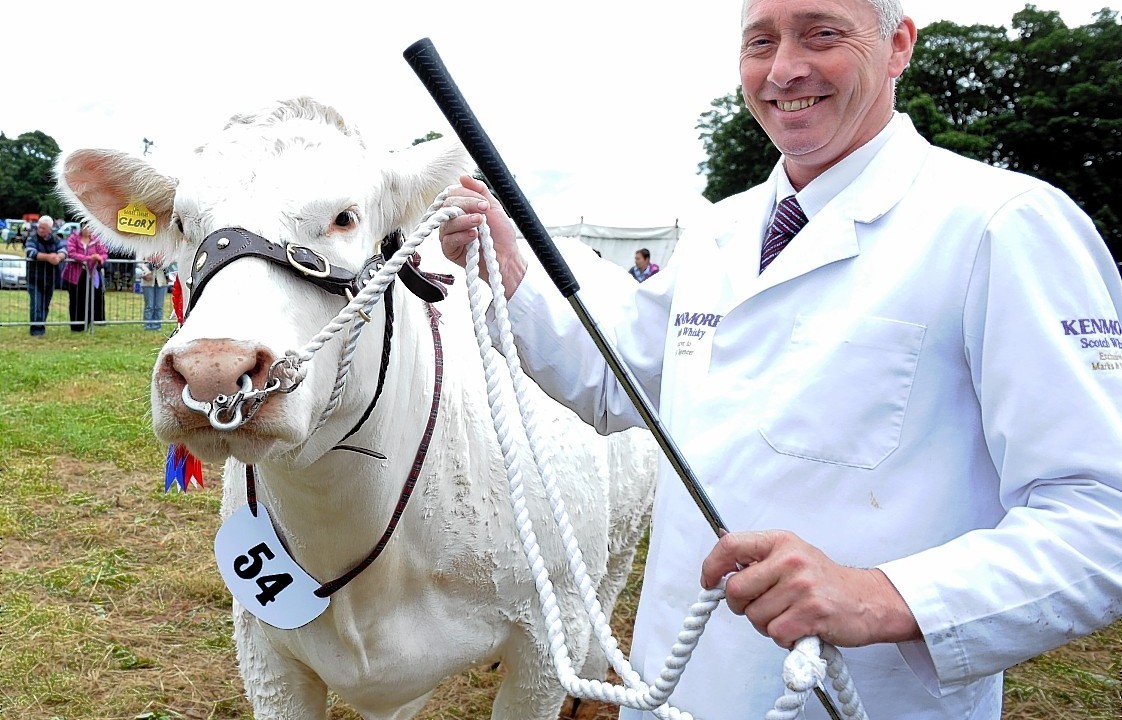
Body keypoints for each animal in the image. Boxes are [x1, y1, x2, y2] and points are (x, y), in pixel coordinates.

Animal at [59, 96, 655, 717]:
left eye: (345, 217)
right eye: (181, 222)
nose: (212, 369)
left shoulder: (544, 646)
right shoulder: (266, 654)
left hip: (620, 542)